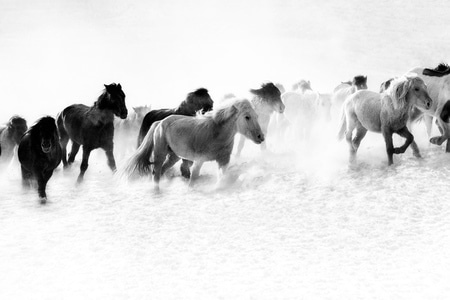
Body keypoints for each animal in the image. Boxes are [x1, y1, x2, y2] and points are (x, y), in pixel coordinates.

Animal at [121, 99, 266, 191]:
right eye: (247, 117)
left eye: (257, 116)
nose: (261, 137)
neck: (216, 133)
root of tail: (160, 122)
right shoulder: (199, 160)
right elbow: (194, 177)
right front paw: (190, 190)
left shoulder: (223, 161)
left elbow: (221, 178)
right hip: (159, 154)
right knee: (156, 172)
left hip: (173, 156)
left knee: (161, 171)